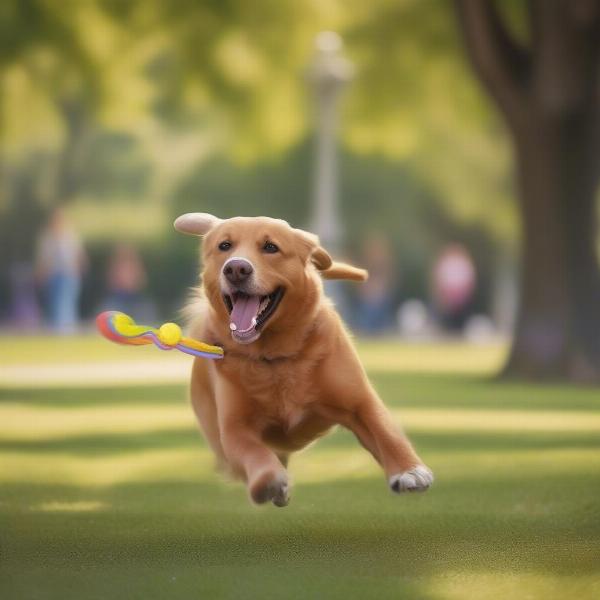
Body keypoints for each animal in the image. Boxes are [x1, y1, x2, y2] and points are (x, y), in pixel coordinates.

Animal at [173, 212, 432, 506]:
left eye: (271, 247)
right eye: (224, 246)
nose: (236, 268)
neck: (274, 356)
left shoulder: (359, 401)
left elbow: (385, 430)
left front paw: (409, 470)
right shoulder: (234, 428)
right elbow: (254, 452)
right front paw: (269, 480)